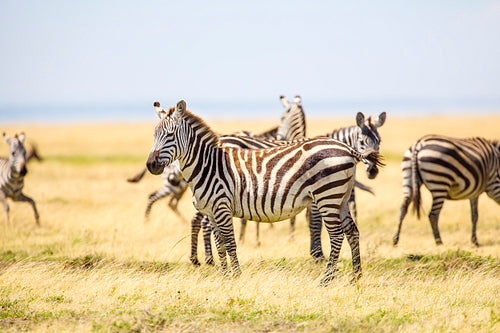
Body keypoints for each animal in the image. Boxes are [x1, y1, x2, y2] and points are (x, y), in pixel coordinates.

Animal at [146, 98, 380, 282]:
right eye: (154, 135)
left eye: (170, 134)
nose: (151, 165)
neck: (209, 165)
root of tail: (347, 149)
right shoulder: (212, 212)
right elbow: (221, 245)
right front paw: (223, 276)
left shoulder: (222, 208)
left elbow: (230, 243)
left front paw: (236, 276)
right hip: (341, 198)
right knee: (352, 232)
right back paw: (355, 276)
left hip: (327, 196)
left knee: (337, 235)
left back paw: (327, 278)